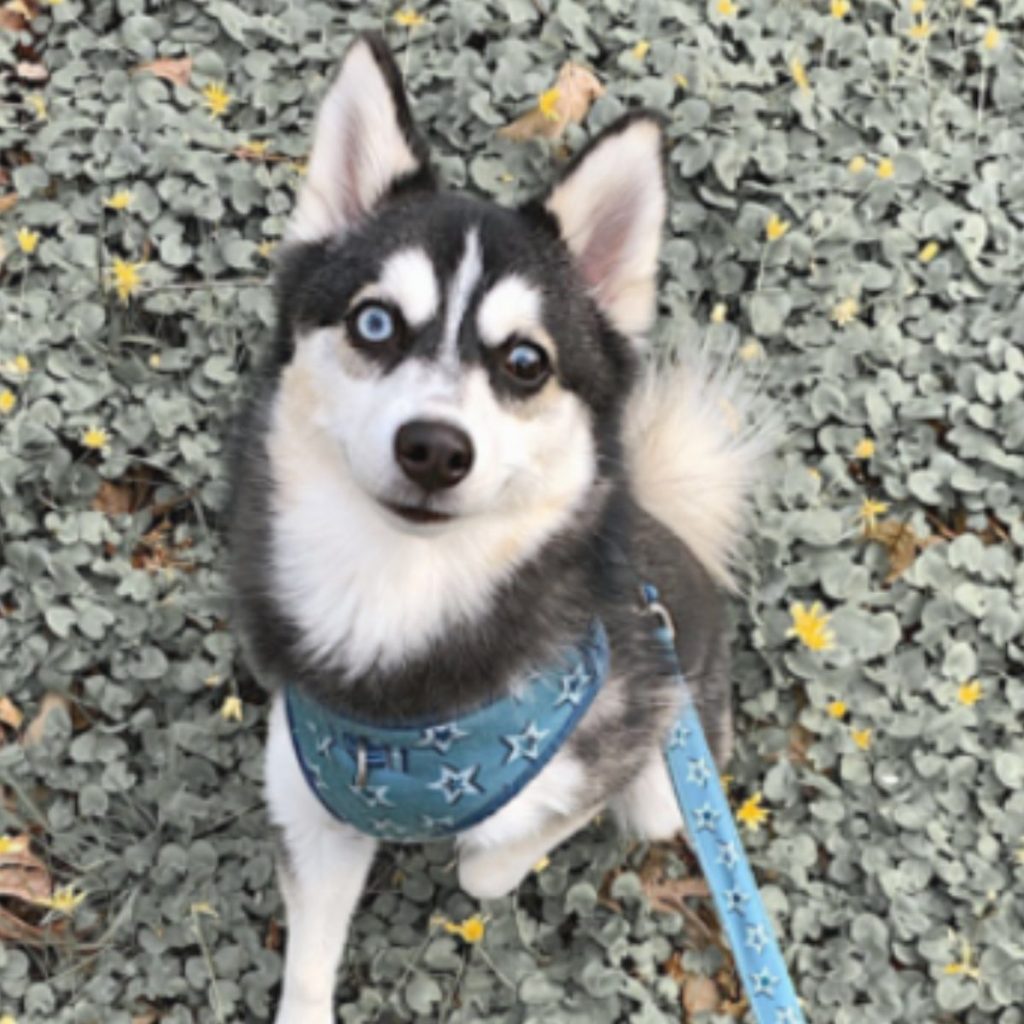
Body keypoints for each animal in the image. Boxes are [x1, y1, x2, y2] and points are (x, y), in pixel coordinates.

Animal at [226, 32, 770, 1024]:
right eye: (374, 321)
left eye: (525, 361)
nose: (435, 449)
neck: (397, 606)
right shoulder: (309, 809)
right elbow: (310, 970)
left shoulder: (610, 754)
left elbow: (495, 858)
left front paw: (478, 858)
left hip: (675, 786)